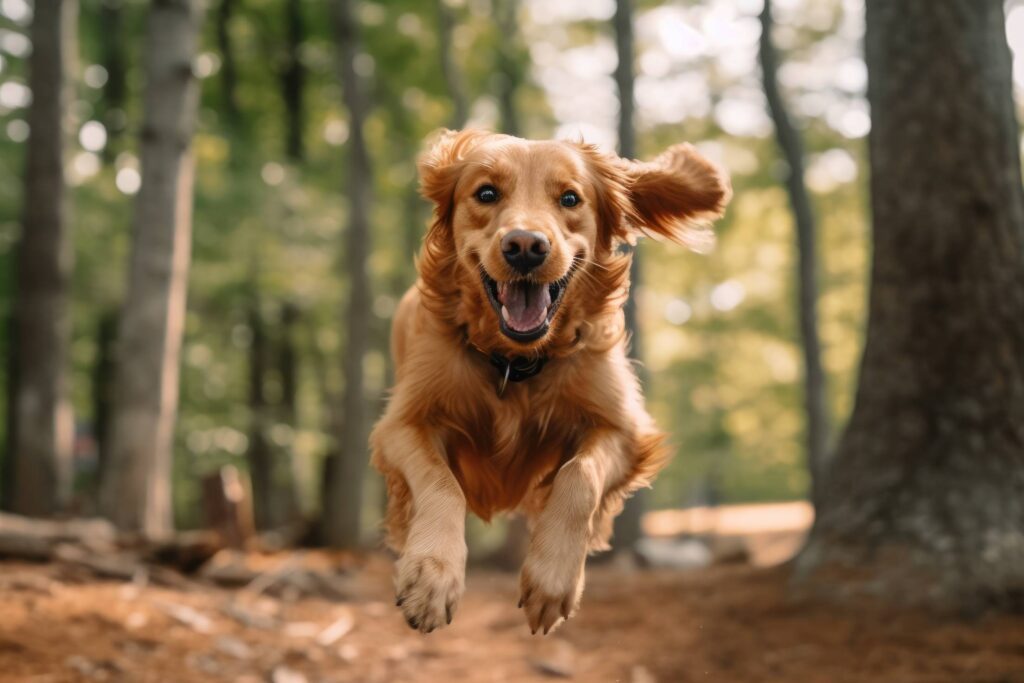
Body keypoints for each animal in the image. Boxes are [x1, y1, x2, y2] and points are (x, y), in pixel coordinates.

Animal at [372, 132, 733, 634]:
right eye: (486, 193)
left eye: (570, 199)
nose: (525, 245)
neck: (516, 362)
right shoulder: (402, 424)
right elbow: (440, 480)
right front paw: (431, 574)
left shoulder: (624, 429)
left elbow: (579, 475)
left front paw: (552, 580)